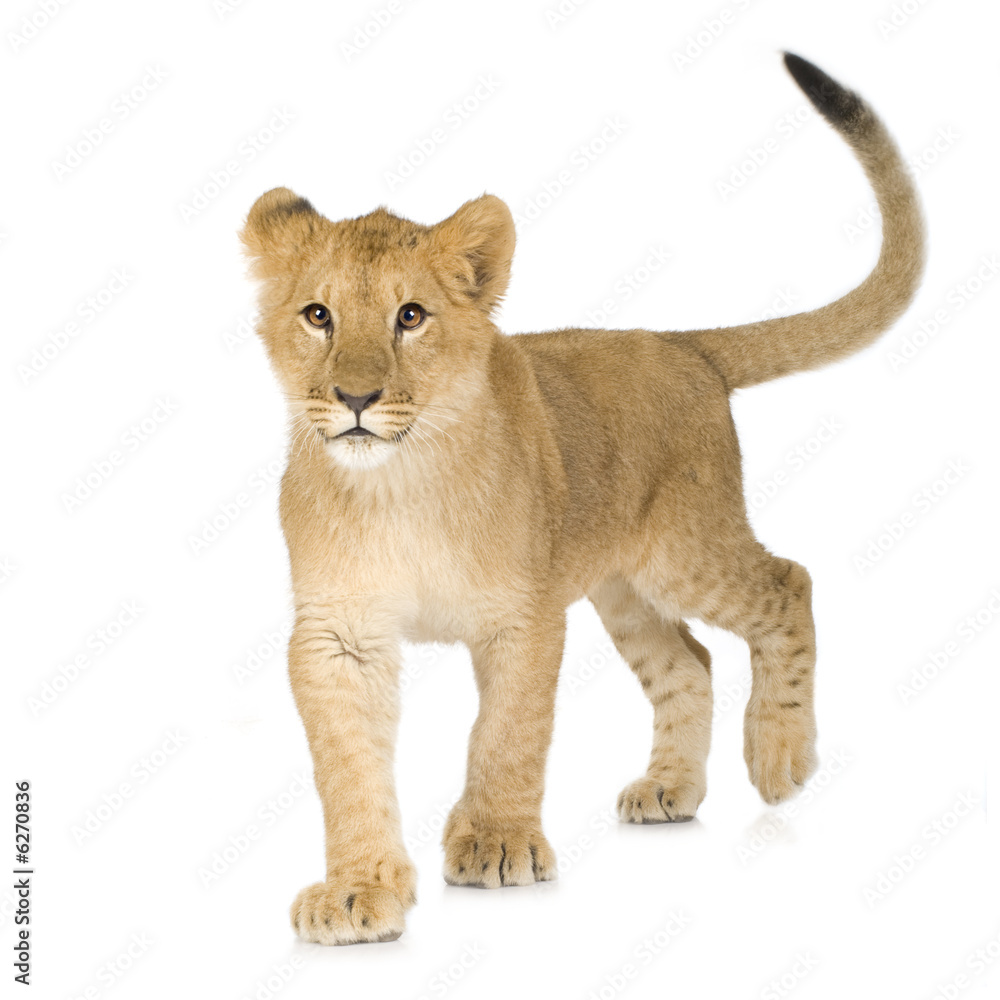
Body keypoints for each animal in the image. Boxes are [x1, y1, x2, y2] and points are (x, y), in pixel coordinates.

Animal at [239, 54, 924, 944]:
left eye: (411, 316)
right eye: (317, 315)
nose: (356, 398)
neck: (399, 482)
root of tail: (682, 344)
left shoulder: (524, 614)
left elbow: (508, 733)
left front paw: (496, 844)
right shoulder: (337, 634)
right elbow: (347, 766)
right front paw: (358, 891)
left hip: (684, 552)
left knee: (789, 583)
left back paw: (778, 756)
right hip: (623, 587)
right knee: (690, 662)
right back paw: (671, 789)